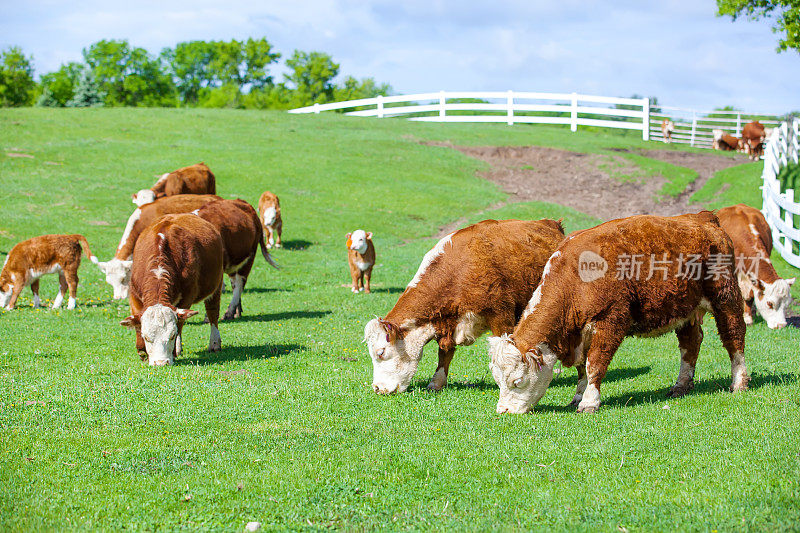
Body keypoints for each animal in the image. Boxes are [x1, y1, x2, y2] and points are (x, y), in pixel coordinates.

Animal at [120, 212, 225, 366]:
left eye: (171, 336)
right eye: (147, 337)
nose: (161, 362)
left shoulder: (187, 296)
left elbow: (180, 324)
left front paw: (174, 352)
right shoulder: (134, 295)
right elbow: (136, 322)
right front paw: (142, 351)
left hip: (216, 285)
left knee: (212, 313)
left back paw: (214, 343)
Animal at [366, 218, 564, 392]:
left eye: (381, 352)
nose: (377, 388)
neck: (457, 272)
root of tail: (551, 223)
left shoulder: (501, 316)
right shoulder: (446, 322)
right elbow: (444, 353)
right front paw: (436, 383)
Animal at [488, 212, 752, 416]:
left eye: (517, 381)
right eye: (498, 381)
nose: (503, 411)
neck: (575, 277)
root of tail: (704, 218)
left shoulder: (610, 321)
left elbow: (595, 364)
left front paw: (589, 402)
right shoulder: (580, 333)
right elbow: (582, 369)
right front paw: (578, 396)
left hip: (726, 297)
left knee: (734, 337)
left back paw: (739, 382)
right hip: (685, 309)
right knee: (690, 344)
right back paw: (681, 385)